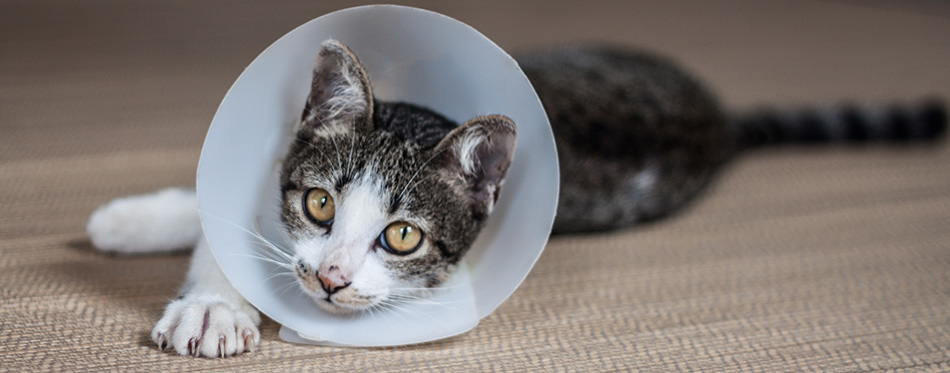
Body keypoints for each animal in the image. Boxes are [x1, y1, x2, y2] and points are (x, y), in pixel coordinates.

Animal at [87, 39, 944, 356]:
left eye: (402, 237)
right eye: (321, 204)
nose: (329, 277)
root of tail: (718, 117)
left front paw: (220, 307)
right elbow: (224, 213)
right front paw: (177, 261)